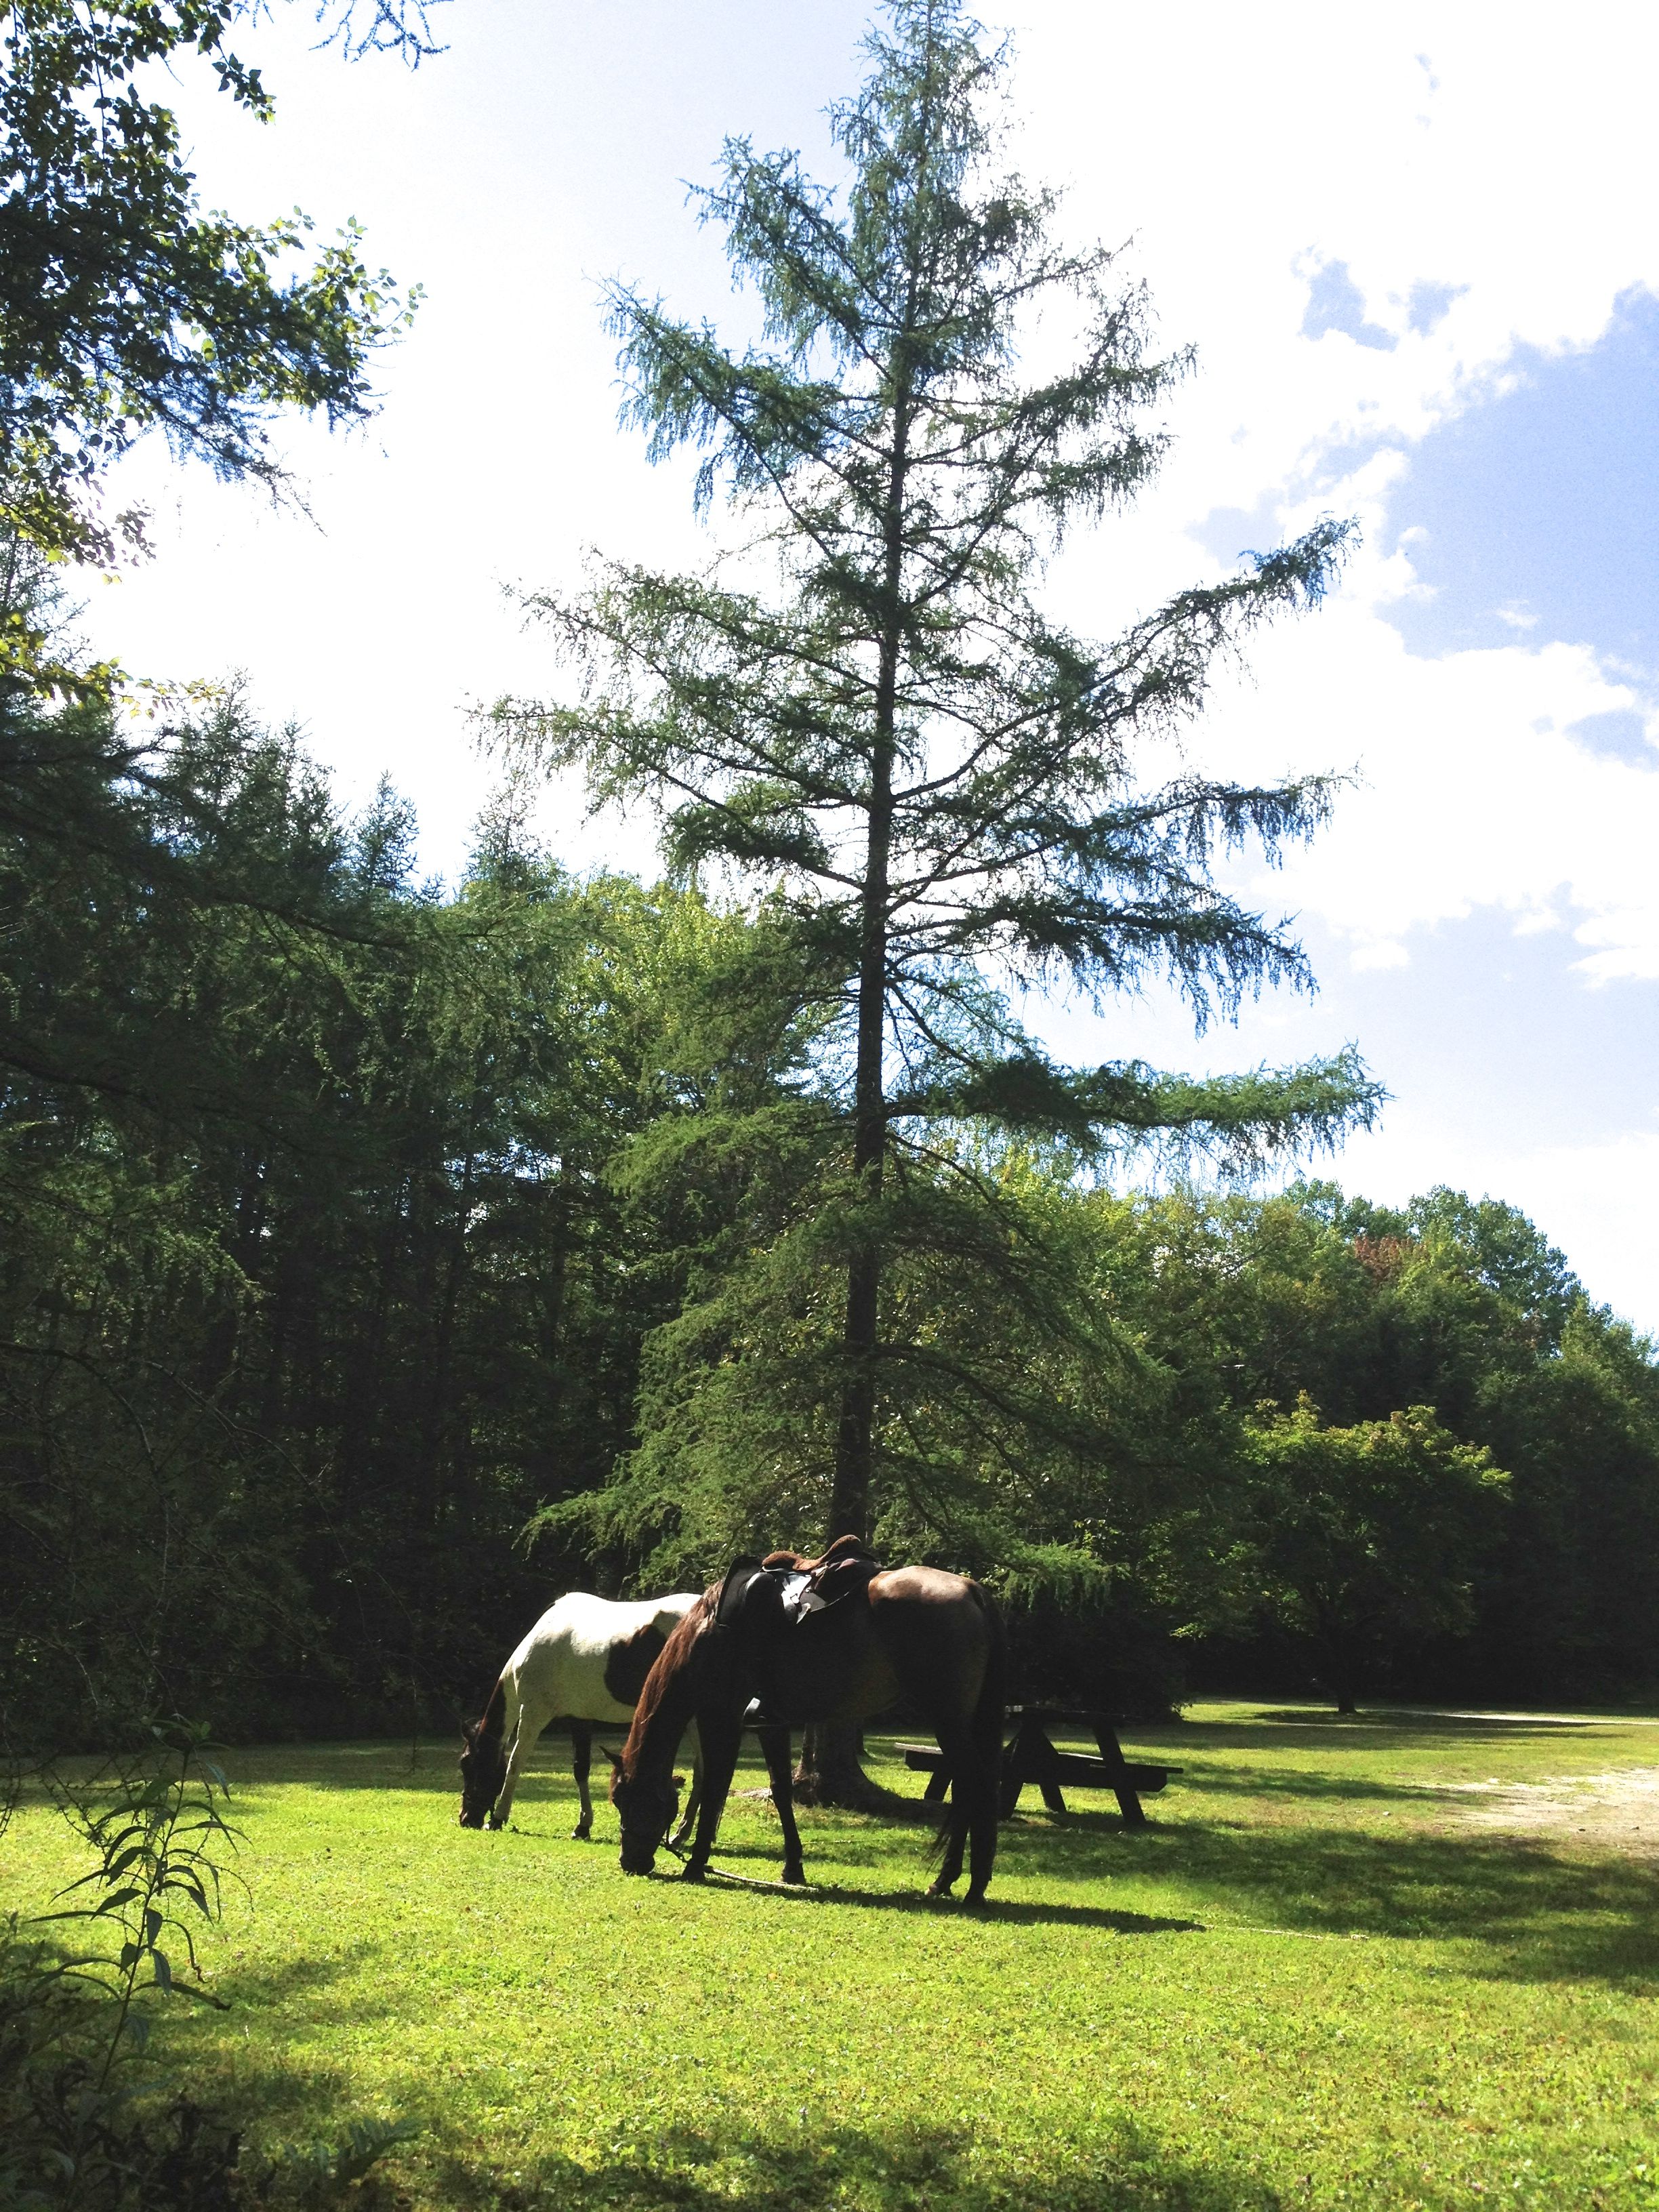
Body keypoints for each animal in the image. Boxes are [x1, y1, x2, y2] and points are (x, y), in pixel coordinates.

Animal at [458, 1590, 704, 1836]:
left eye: (467, 1763)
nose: (466, 1819)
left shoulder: (533, 1714)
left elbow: (515, 1763)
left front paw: (498, 1818)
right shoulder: (580, 1718)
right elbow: (581, 1769)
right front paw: (583, 1825)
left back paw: (682, 1833)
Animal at [607, 1544, 1006, 1902]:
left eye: (623, 1799)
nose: (630, 1862)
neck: (711, 1630)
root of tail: (973, 1591)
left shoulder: (719, 1718)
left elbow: (714, 1789)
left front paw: (696, 1864)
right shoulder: (770, 1724)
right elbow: (781, 1790)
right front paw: (793, 1867)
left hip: (949, 1721)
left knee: (974, 1786)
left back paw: (957, 1883)